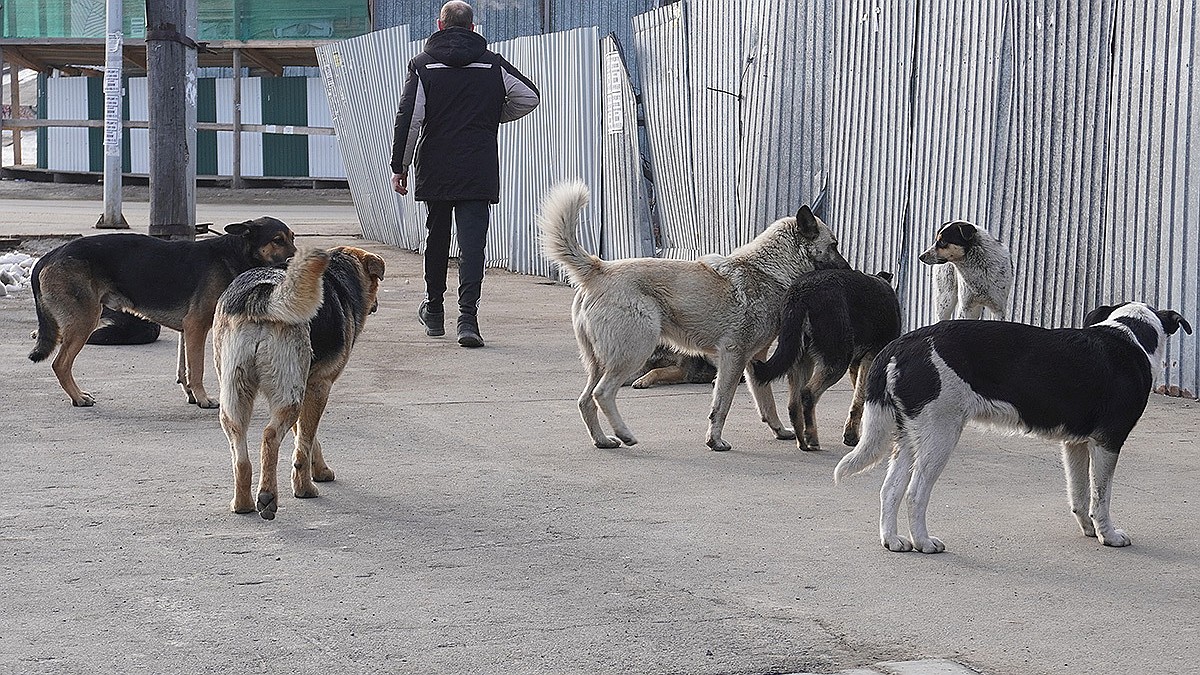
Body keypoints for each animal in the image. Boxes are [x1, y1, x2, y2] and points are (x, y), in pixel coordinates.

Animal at [28, 216, 295, 403]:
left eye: (292, 238)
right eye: (277, 240)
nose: (296, 260)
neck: (235, 253)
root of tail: (50, 255)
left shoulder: (187, 330)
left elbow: (184, 367)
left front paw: (191, 394)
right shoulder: (197, 326)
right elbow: (197, 368)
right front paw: (203, 398)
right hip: (85, 321)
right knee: (60, 364)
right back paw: (78, 397)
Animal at [213, 243, 384, 516]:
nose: (376, 303)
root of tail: (259, 294)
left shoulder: (306, 389)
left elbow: (305, 437)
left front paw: (320, 469)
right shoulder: (318, 386)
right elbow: (304, 443)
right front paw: (306, 483)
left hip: (235, 394)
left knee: (240, 454)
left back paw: (242, 503)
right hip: (288, 395)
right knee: (270, 436)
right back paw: (271, 496)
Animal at [753, 269, 897, 451]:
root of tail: (800, 293)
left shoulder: (857, 364)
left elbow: (858, 398)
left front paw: (851, 433)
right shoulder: (870, 358)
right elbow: (859, 399)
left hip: (801, 359)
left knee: (794, 405)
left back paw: (802, 441)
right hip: (837, 361)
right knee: (808, 394)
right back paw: (812, 437)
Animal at [835, 300, 1190, 552]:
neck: (1131, 337)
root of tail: (901, 344)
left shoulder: (1075, 444)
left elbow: (1079, 495)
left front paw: (1089, 531)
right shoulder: (1108, 441)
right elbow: (1101, 498)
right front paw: (1109, 535)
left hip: (911, 436)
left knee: (890, 489)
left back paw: (893, 541)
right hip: (941, 433)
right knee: (915, 492)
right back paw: (924, 542)